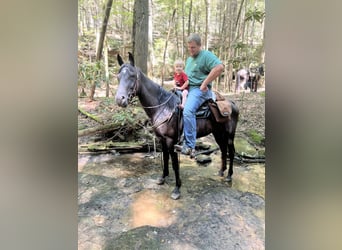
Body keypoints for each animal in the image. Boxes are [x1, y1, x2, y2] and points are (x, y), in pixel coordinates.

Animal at [116, 52, 239, 199]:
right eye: (118, 77)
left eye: (132, 76)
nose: (120, 100)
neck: (163, 106)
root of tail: (232, 104)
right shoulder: (161, 139)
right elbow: (165, 158)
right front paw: (163, 178)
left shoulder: (171, 140)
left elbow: (174, 163)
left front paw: (177, 188)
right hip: (218, 133)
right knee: (223, 149)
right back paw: (221, 171)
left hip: (229, 134)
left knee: (231, 151)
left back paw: (229, 176)